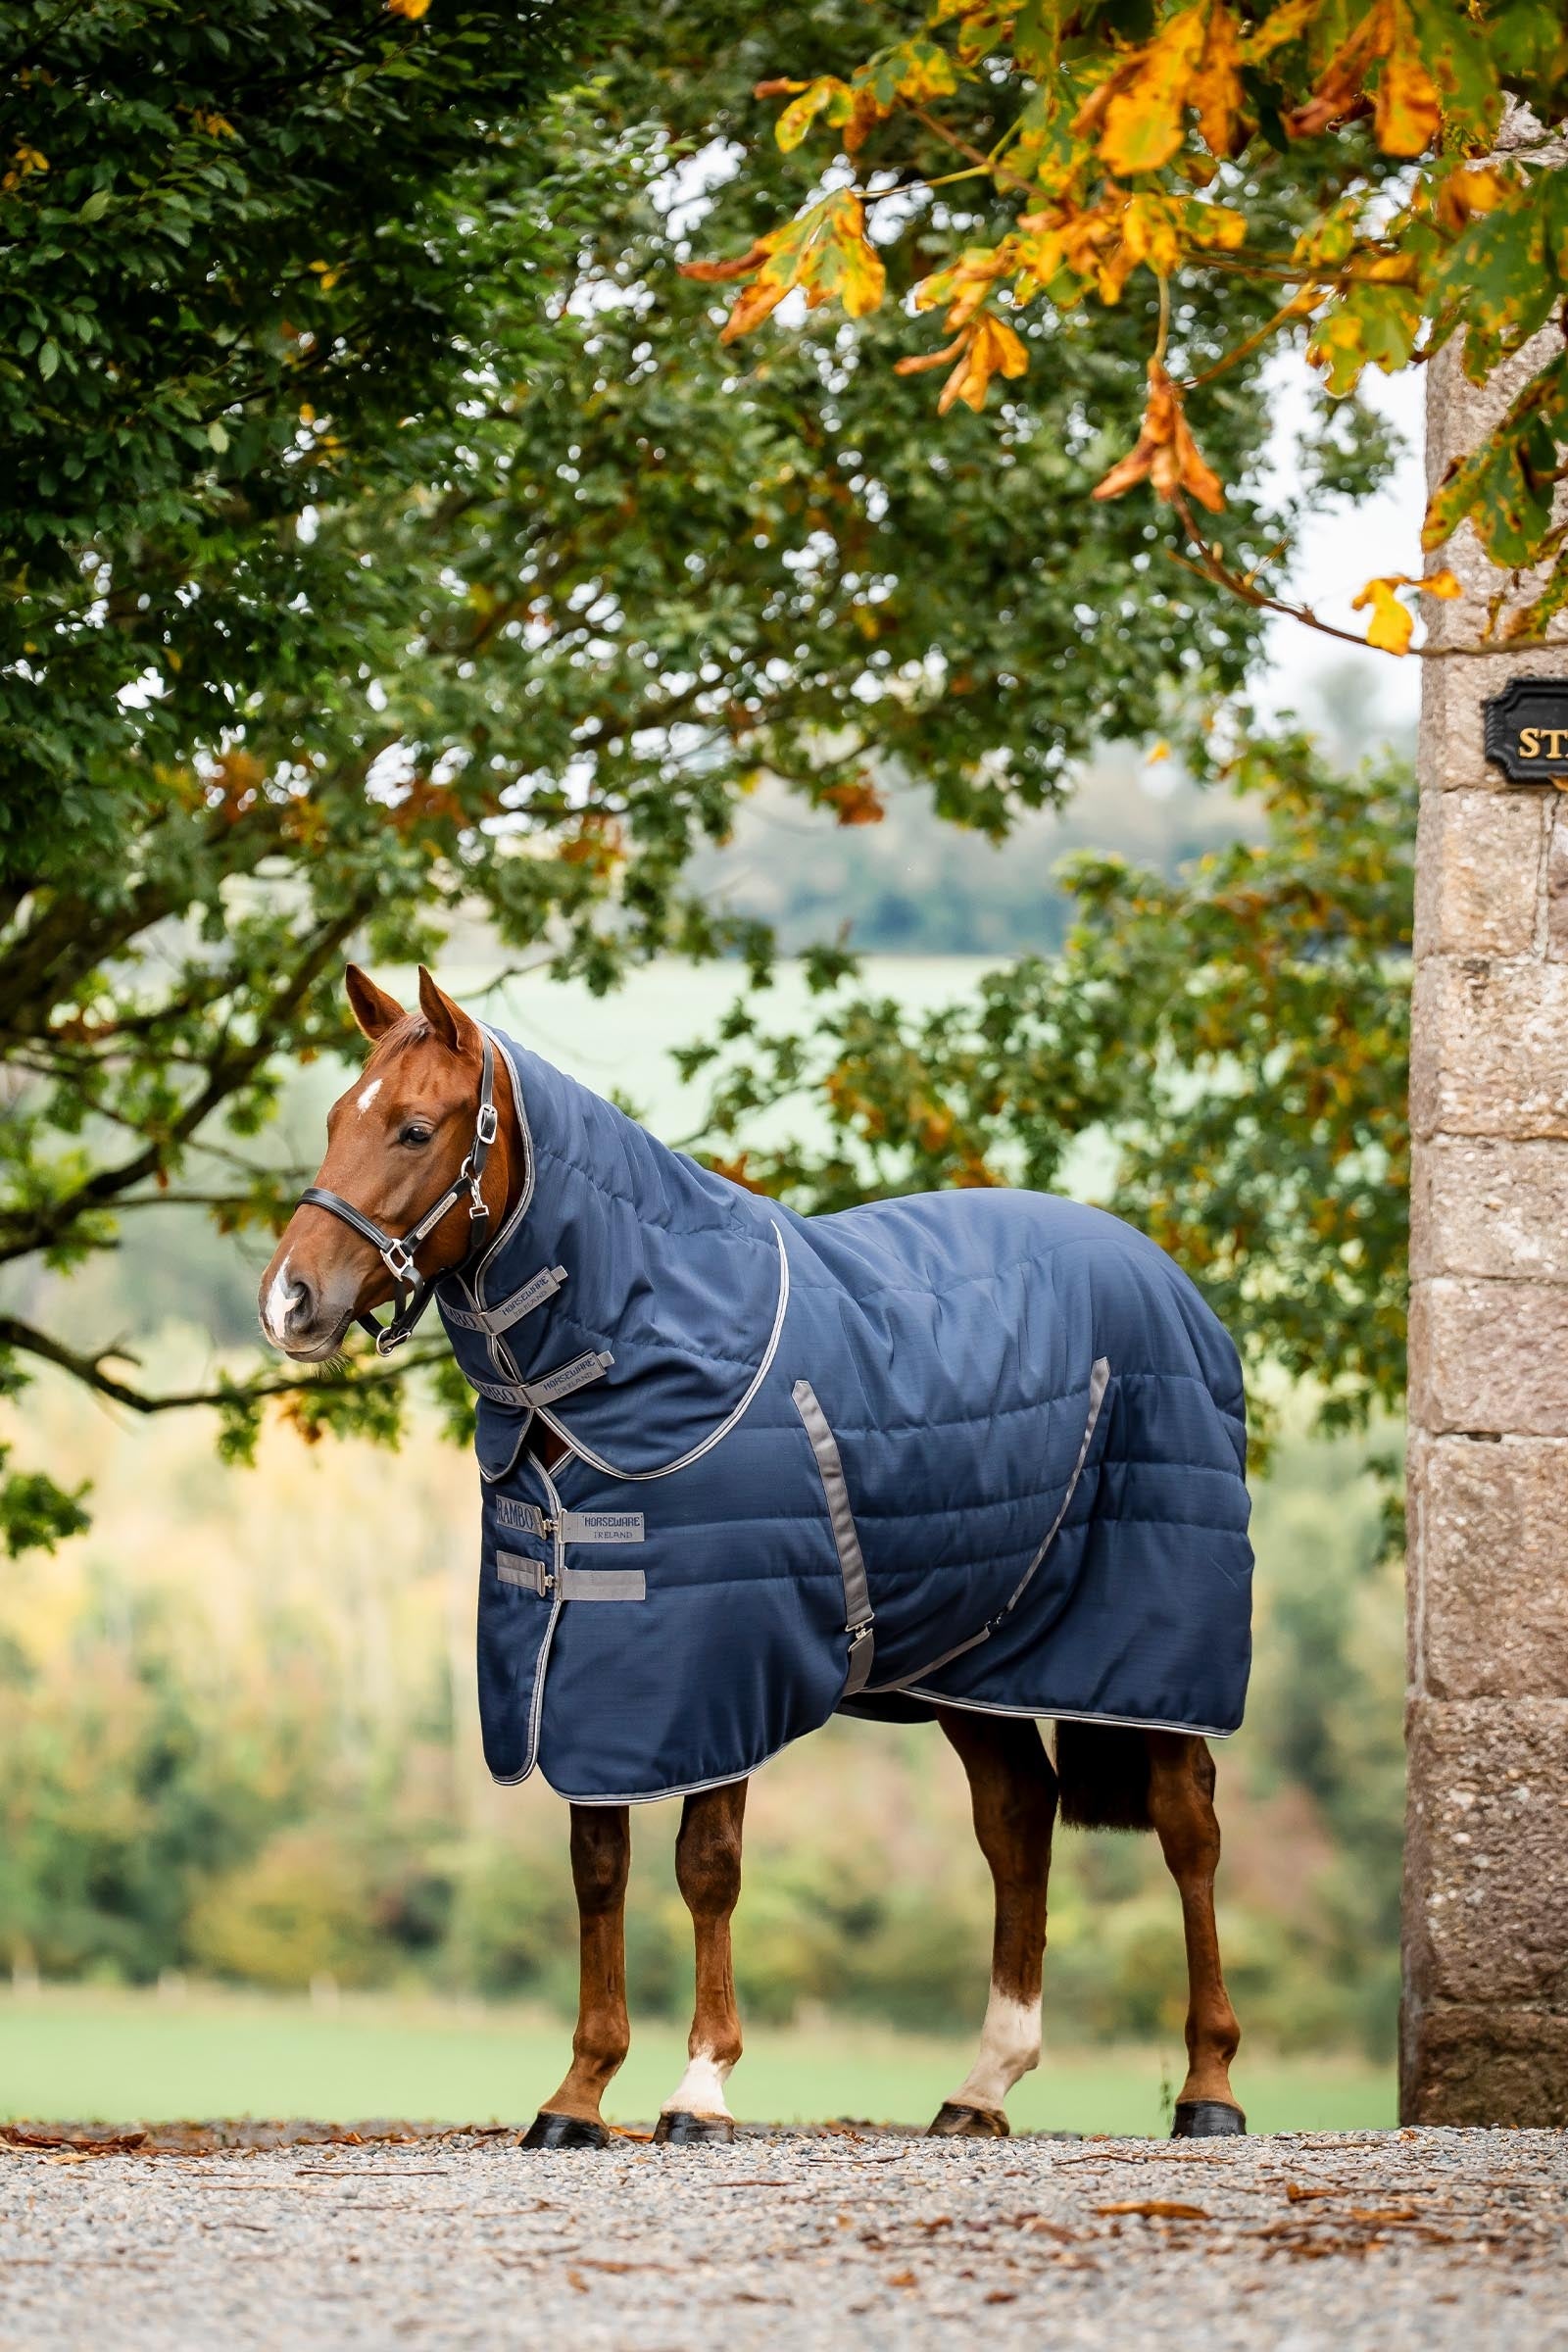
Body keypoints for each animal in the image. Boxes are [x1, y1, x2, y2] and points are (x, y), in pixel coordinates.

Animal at [259, 964, 1250, 2146]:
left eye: (414, 1128)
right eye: (333, 1120)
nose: (289, 1301)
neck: (629, 1359)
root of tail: (1167, 1280)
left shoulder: (714, 1671)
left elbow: (705, 1869)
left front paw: (699, 2088)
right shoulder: (590, 1668)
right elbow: (599, 1870)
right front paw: (577, 2095)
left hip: (1151, 1645)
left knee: (1189, 1827)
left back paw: (1208, 2085)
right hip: (974, 1658)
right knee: (1017, 1819)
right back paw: (982, 2085)